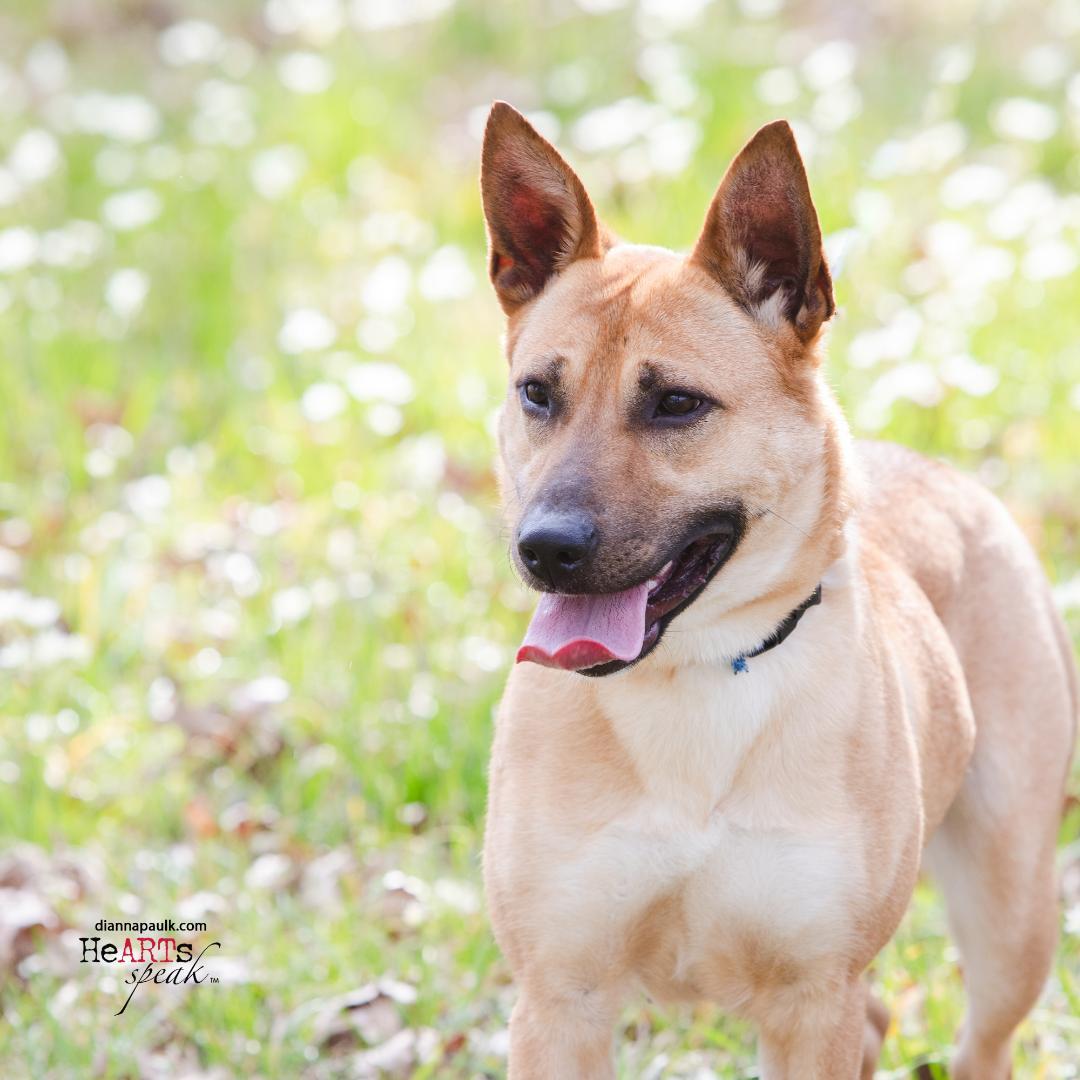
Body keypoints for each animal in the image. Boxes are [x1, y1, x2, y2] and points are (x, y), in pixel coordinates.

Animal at [481, 97, 1080, 1075]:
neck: (690, 677)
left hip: (1010, 914)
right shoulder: (559, 999)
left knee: (983, 1034)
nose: (546, 548)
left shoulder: (811, 995)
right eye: (538, 393)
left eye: (676, 404)